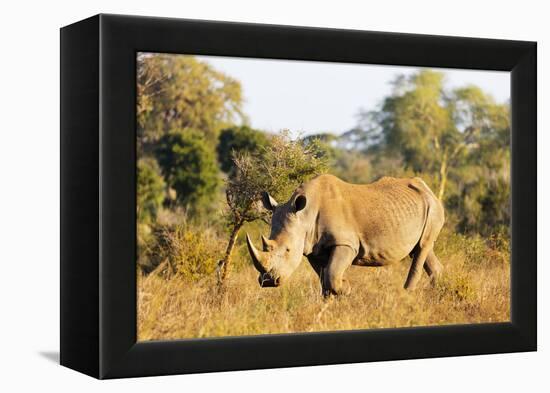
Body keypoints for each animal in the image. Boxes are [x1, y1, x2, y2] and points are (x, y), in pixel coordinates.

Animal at [248, 173, 446, 296]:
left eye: (288, 250)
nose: (268, 282)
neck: (305, 215)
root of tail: (428, 189)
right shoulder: (313, 248)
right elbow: (324, 277)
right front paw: (329, 300)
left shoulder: (345, 243)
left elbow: (331, 274)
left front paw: (346, 288)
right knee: (421, 250)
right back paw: (437, 291)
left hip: (433, 207)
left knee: (422, 248)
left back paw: (406, 295)